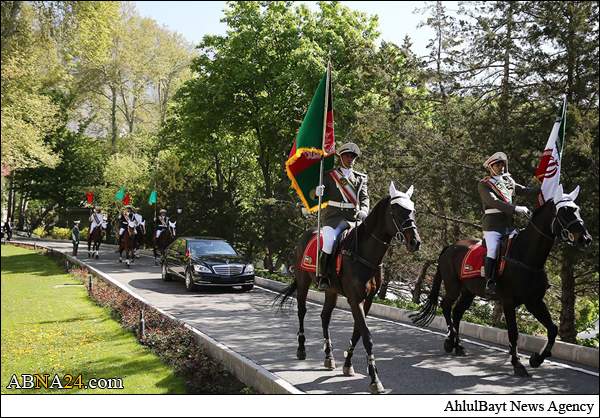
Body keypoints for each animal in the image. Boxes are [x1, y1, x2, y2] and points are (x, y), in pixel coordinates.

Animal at [276, 181, 422, 394]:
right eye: (396, 210)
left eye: (413, 211)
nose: (415, 242)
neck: (364, 252)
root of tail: (308, 231)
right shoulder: (354, 299)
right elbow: (367, 336)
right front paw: (375, 379)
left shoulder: (367, 299)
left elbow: (358, 332)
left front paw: (348, 364)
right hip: (303, 282)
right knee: (302, 311)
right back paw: (301, 348)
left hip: (331, 291)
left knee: (325, 317)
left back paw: (329, 357)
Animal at [410, 185, 592, 378]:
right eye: (563, 211)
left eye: (578, 209)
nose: (585, 239)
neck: (527, 256)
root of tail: (451, 247)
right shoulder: (509, 302)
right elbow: (513, 333)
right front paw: (517, 363)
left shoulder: (534, 302)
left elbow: (552, 329)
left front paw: (537, 359)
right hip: (453, 287)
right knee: (446, 306)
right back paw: (449, 341)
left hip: (469, 292)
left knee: (457, 312)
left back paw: (458, 346)